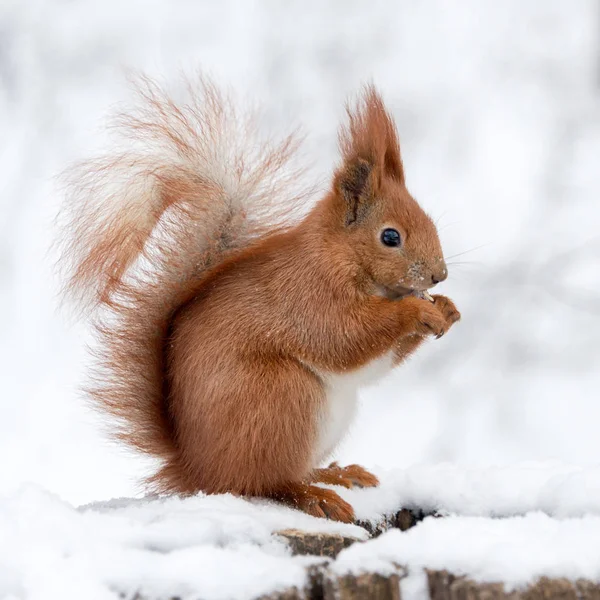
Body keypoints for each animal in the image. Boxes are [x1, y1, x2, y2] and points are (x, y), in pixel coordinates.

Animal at [59, 77, 460, 524]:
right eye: (390, 236)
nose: (439, 275)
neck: (340, 255)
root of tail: (196, 469)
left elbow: (375, 363)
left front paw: (446, 309)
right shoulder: (309, 297)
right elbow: (345, 339)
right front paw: (416, 310)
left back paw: (336, 473)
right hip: (279, 399)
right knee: (263, 482)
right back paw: (313, 494)